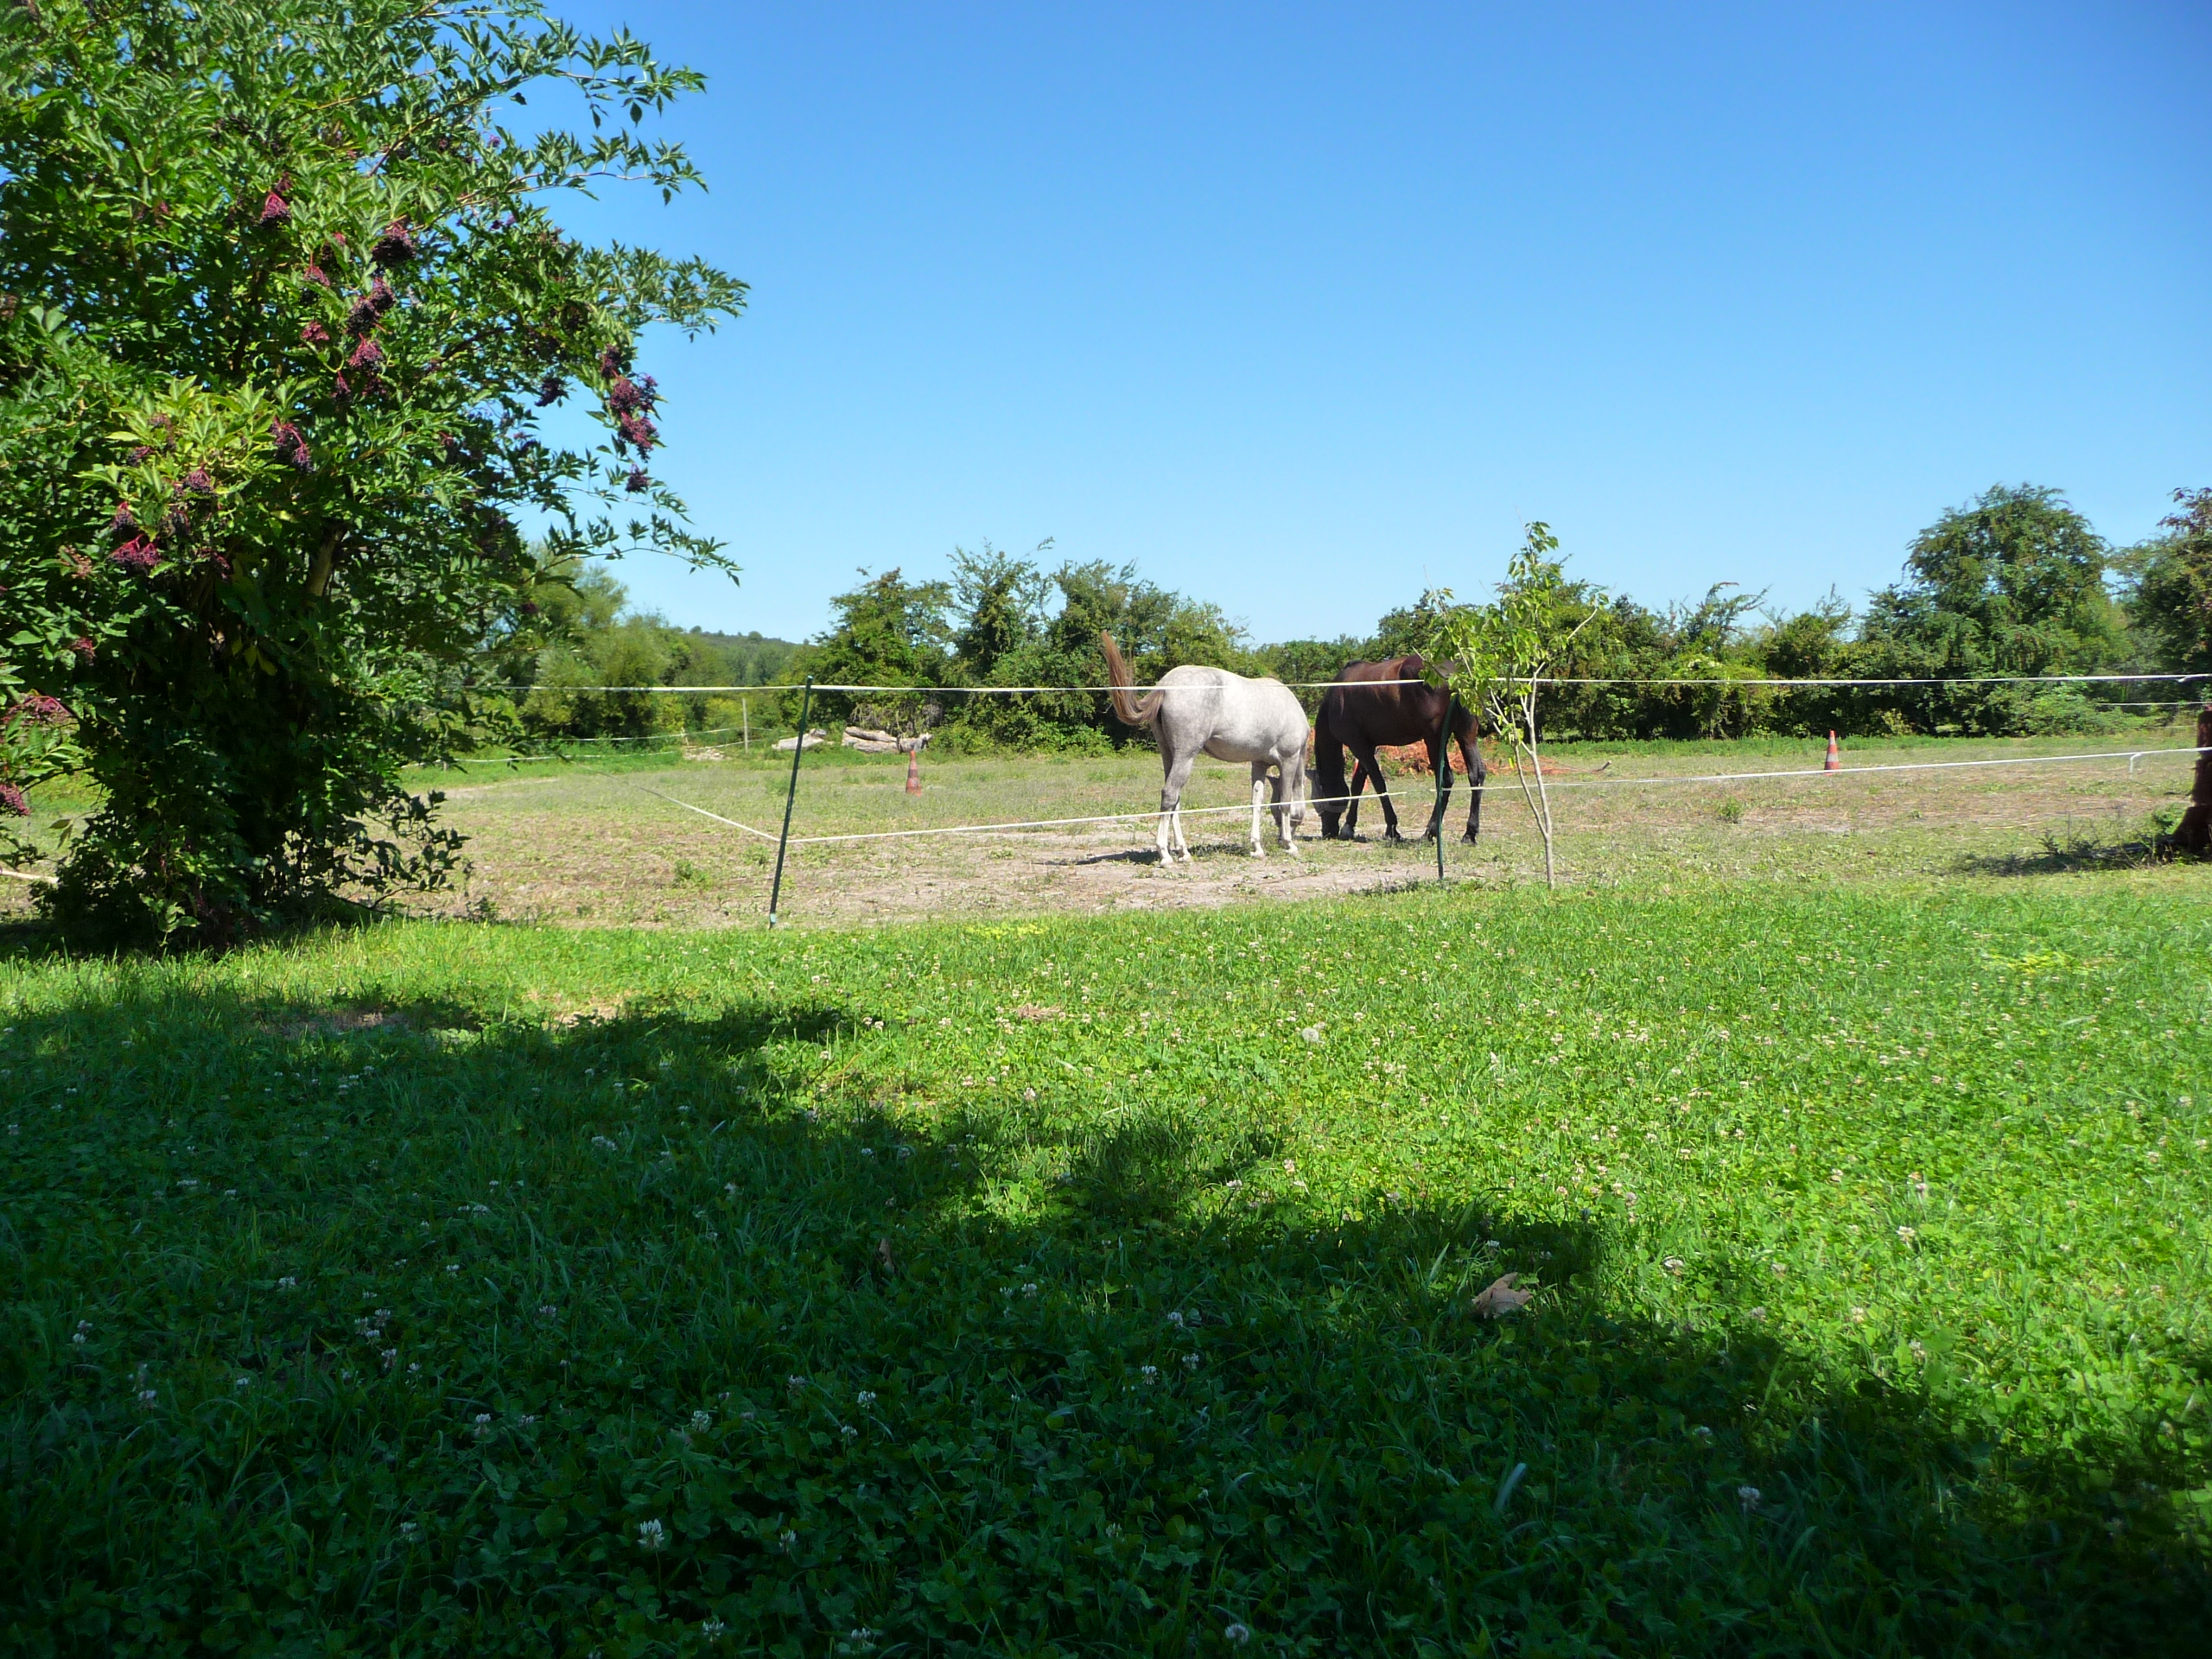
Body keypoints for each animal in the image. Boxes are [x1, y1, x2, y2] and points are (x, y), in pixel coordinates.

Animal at [1096, 637, 1300, 871]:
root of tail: (1165, 686)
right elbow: (1285, 801)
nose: (1281, 838)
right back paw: (1165, 854)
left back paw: (1183, 851)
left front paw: (1257, 847)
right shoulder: (1289, 760)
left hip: (1170, 756)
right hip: (1186, 756)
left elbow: (1256, 802)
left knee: (1174, 799)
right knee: (1169, 794)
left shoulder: (1258, 763)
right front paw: (1289, 844)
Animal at [1309, 654, 1486, 844]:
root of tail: (1456, 674)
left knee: (1445, 779)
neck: (1336, 698)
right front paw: (1349, 826)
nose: (1327, 831)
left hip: (1434, 739)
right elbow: (1358, 785)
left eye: (1318, 798)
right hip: (1466, 735)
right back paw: (1469, 833)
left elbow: (1378, 784)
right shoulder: (1367, 746)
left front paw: (1392, 829)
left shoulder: (1359, 746)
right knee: (1476, 774)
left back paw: (1429, 832)